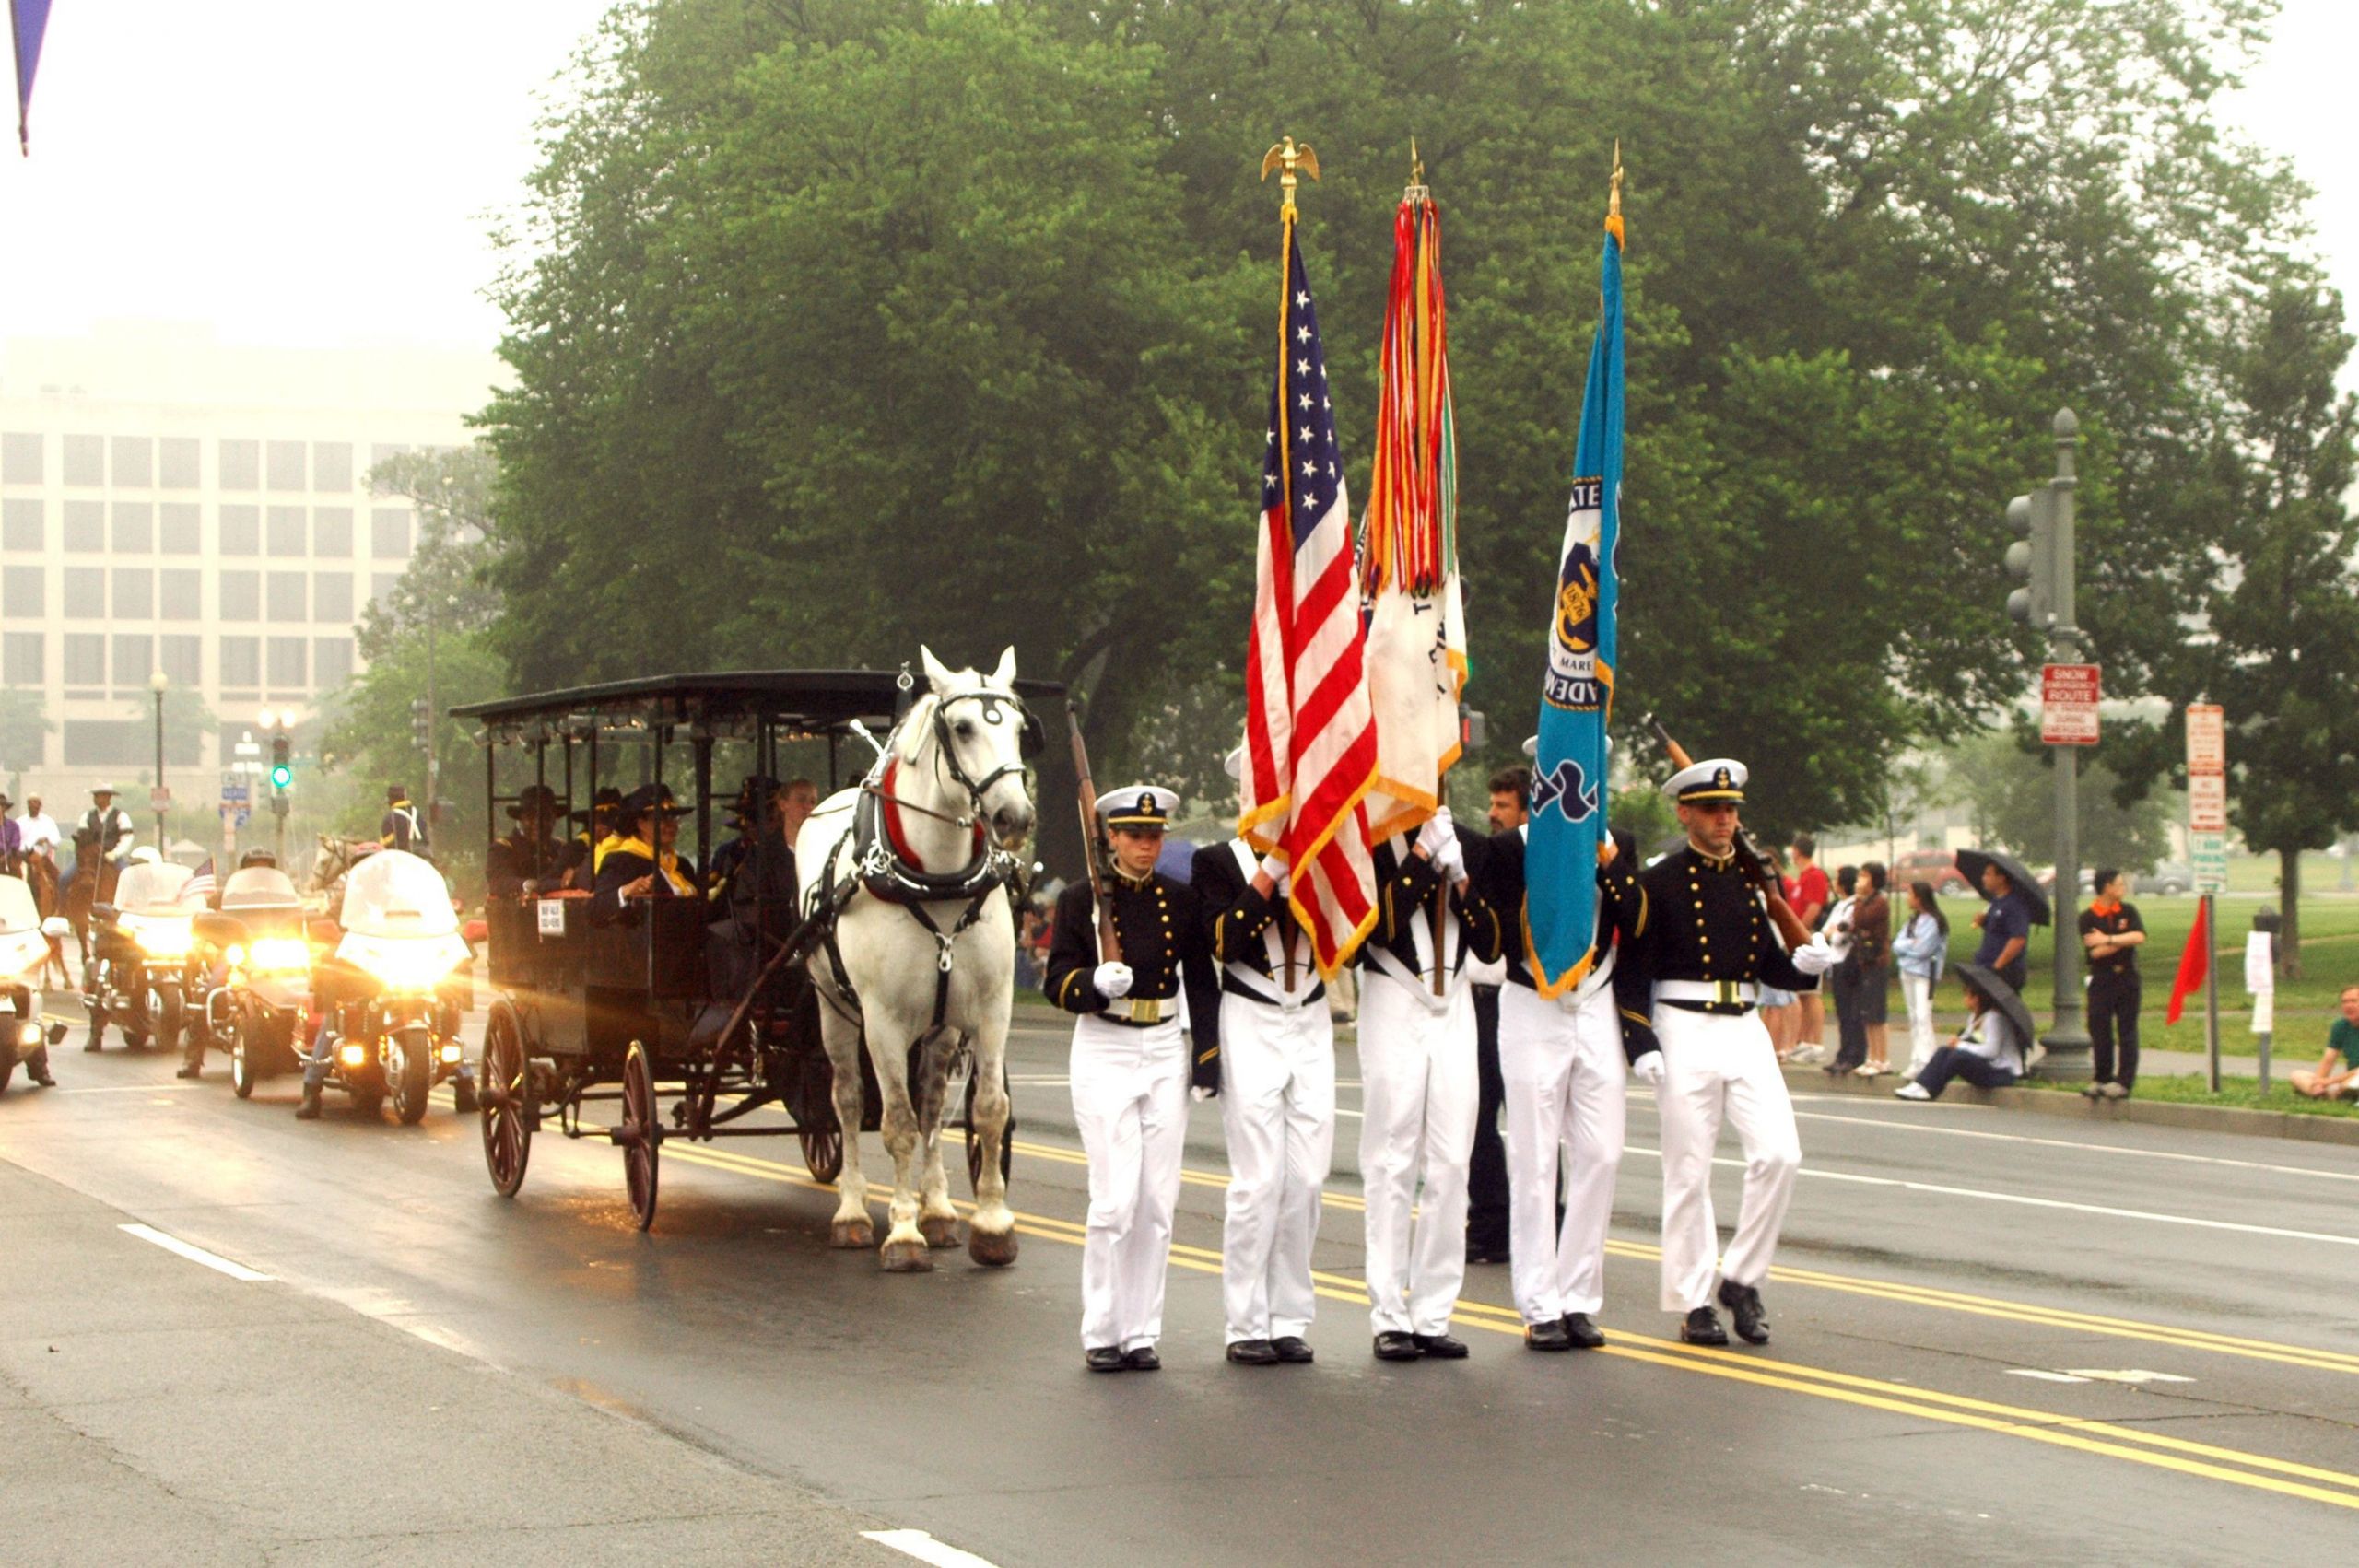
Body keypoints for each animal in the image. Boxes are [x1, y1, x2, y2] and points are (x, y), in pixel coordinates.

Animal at [797, 641, 1038, 1263]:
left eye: (1019, 728)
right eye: (963, 727)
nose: (1015, 817)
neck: (937, 880)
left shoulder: (992, 1007)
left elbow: (986, 1110)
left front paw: (991, 1223)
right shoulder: (881, 1019)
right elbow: (897, 1122)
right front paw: (903, 1232)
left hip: (942, 1027)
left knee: (932, 1100)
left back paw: (940, 1209)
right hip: (834, 1009)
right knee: (847, 1099)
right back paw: (854, 1210)